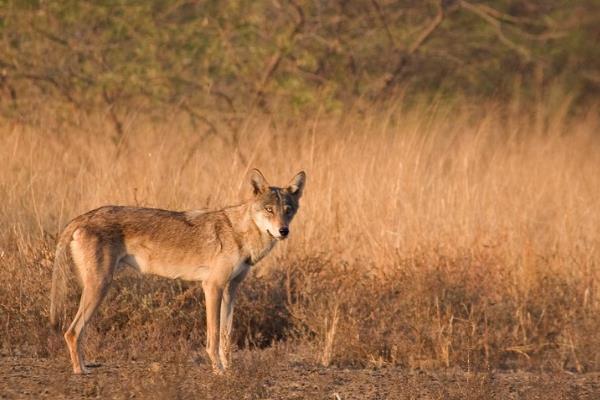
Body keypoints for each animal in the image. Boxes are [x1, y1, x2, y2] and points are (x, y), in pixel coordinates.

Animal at [48, 170, 304, 376]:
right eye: (269, 210)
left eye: (288, 210)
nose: (284, 231)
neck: (240, 234)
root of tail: (83, 217)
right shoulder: (212, 287)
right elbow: (213, 337)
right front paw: (218, 371)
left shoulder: (231, 290)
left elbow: (226, 335)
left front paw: (229, 370)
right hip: (100, 287)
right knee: (71, 332)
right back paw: (80, 371)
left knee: (73, 332)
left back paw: (84, 367)